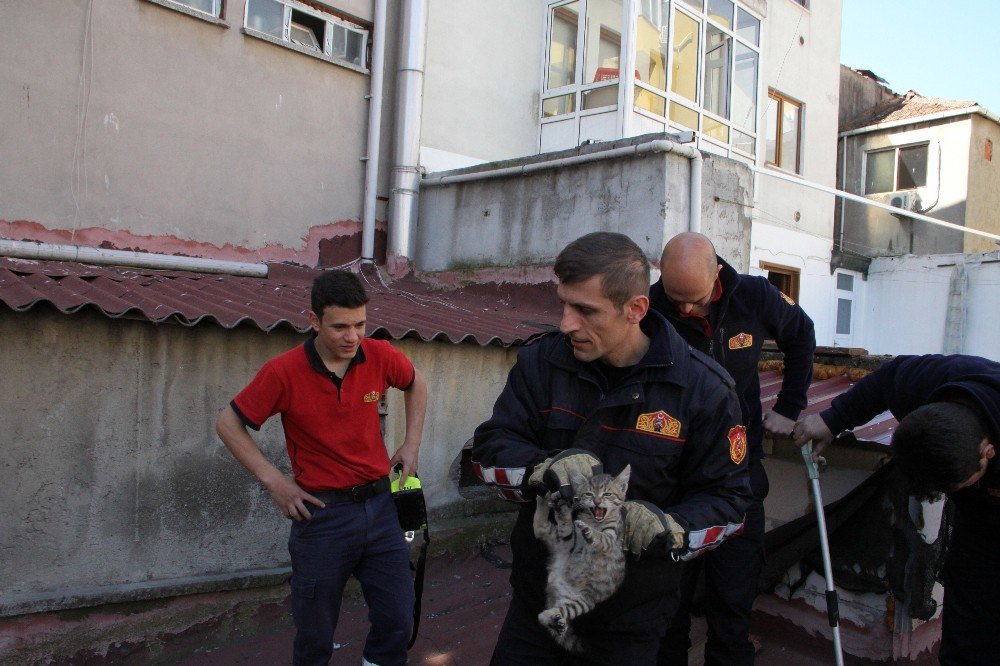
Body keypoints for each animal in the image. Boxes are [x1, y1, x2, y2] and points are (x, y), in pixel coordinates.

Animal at [536, 462, 628, 648]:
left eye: (607, 494)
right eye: (589, 494)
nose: (597, 501)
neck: (594, 521)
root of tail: (556, 578)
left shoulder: (611, 539)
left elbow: (601, 537)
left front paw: (590, 532)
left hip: (581, 602)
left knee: (544, 615)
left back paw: (555, 621)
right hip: (564, 542)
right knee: (543, 527)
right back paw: (549, 500)